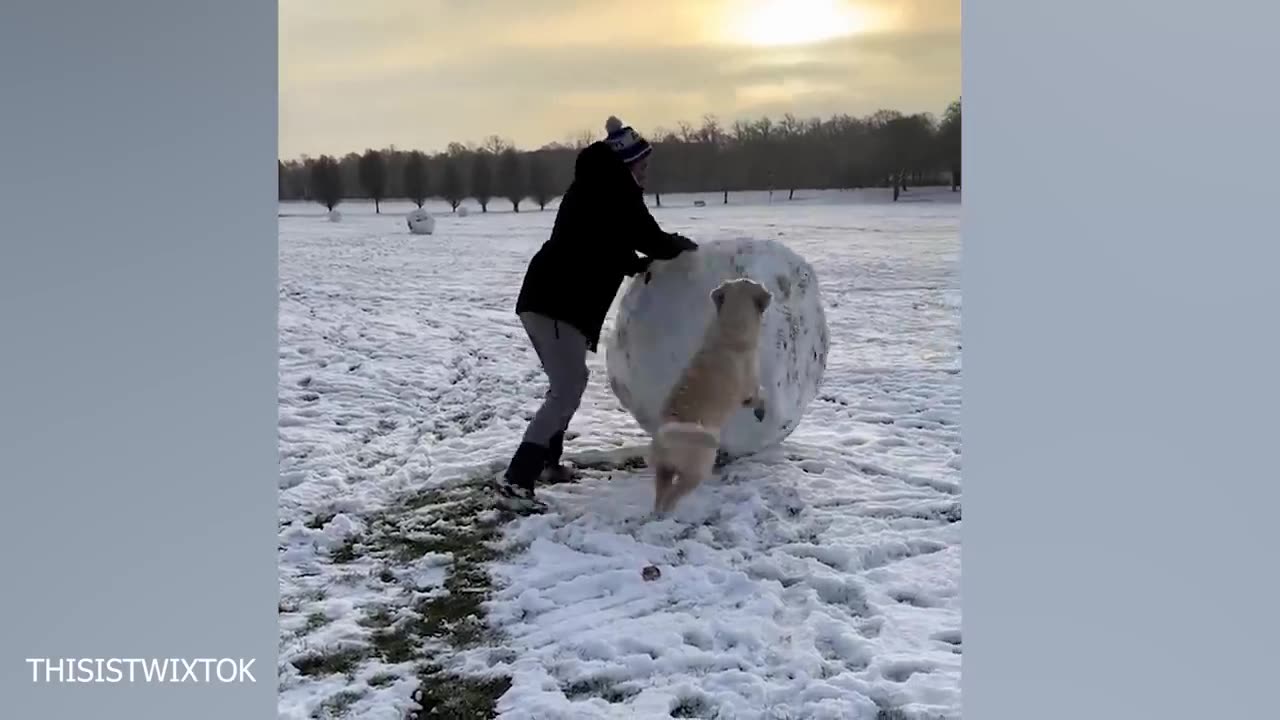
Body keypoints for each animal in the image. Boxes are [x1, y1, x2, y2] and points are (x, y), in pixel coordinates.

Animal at [650, 278, 768, 512]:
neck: (729, 330)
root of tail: (667, 434)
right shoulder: (749, 392)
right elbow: (762, 396)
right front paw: (762, 411)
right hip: (695, 471)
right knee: (672, 497)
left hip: (663, 470)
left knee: (661, 495)